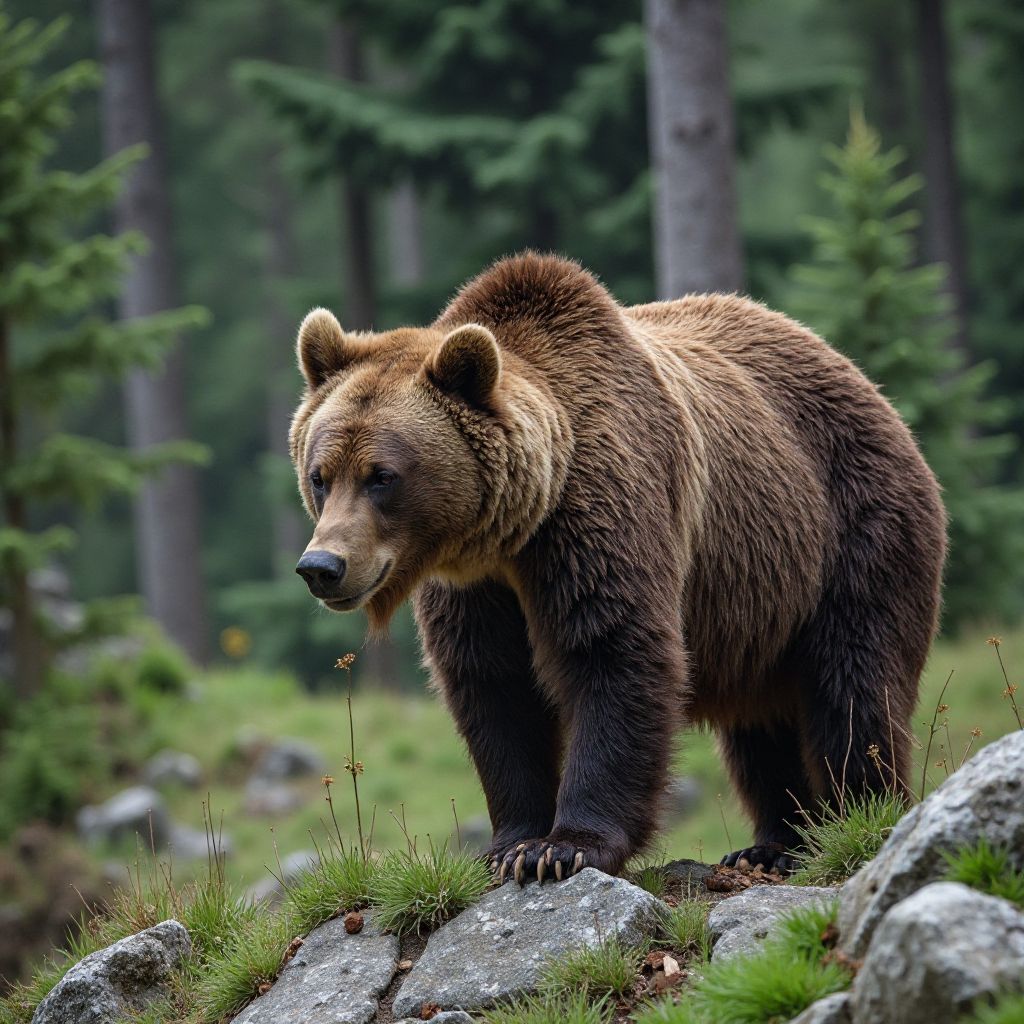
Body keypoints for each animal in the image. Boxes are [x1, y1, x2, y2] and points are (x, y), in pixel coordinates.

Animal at [290, 251, 946, 882]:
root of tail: (864, 379)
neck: (514, 534)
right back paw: (772, 842)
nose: (321, 565)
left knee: (854, 684)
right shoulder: (477, 588)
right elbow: (494, 687)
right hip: (760, 604)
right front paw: (508, 844)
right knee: (761, 726)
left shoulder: (603, 512)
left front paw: (564, 848)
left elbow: (612, 651)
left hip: (852, 528)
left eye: (382, 476)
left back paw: (850, 820)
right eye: (320, 474)